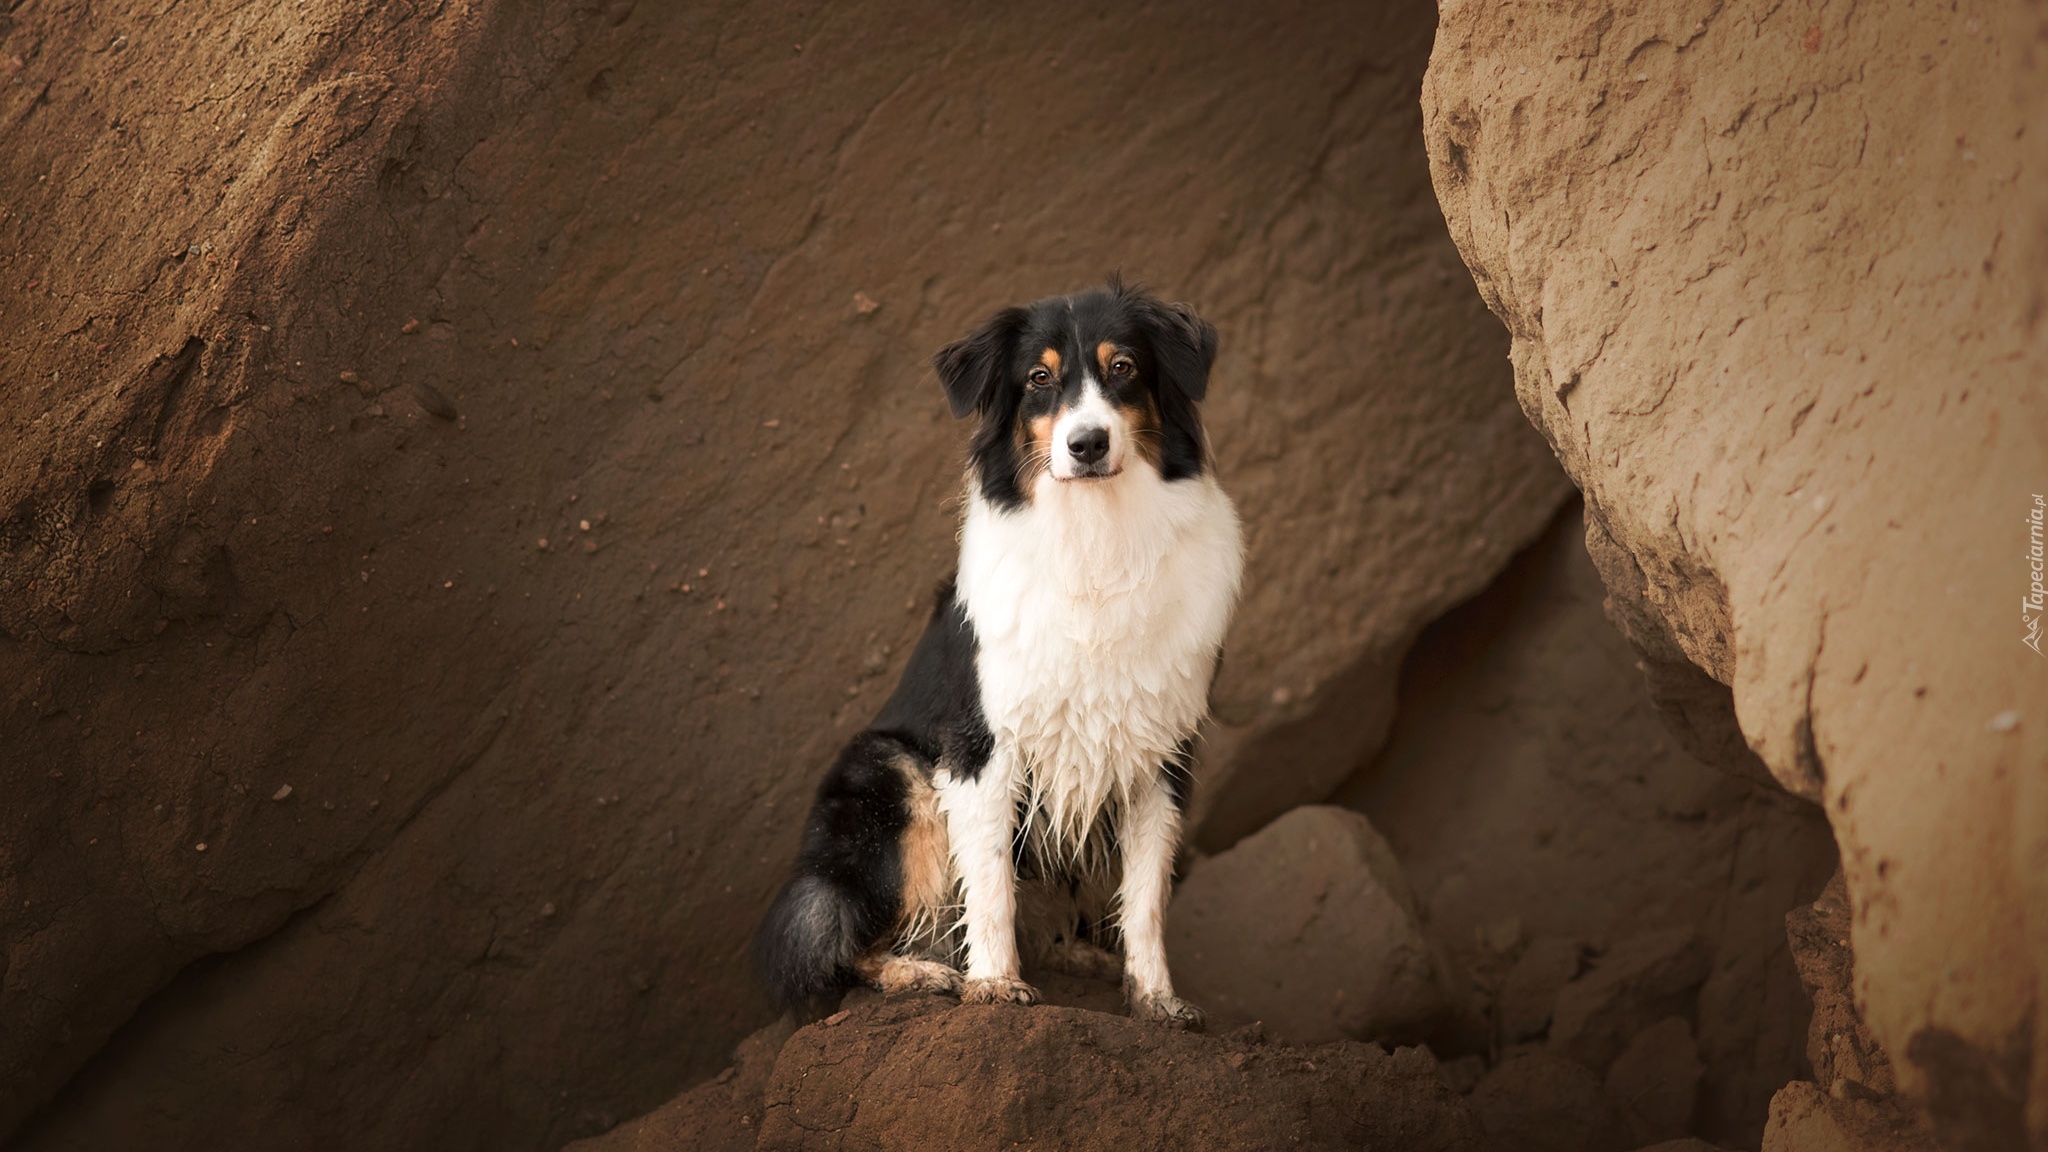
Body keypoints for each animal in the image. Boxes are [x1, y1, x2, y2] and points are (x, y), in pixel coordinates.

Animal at [753, 276, 1228, 1020]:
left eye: (1123, 367)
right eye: (1039, 379)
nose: (1087, 444)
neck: (1096, 536)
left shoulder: (1161, 752)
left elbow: (1148, 895)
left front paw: (1156, 1000)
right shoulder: (981, 746)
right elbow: (991, 883)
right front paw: (996, 984)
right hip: (893, 775)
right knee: (835, 938)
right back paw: (919, 972)